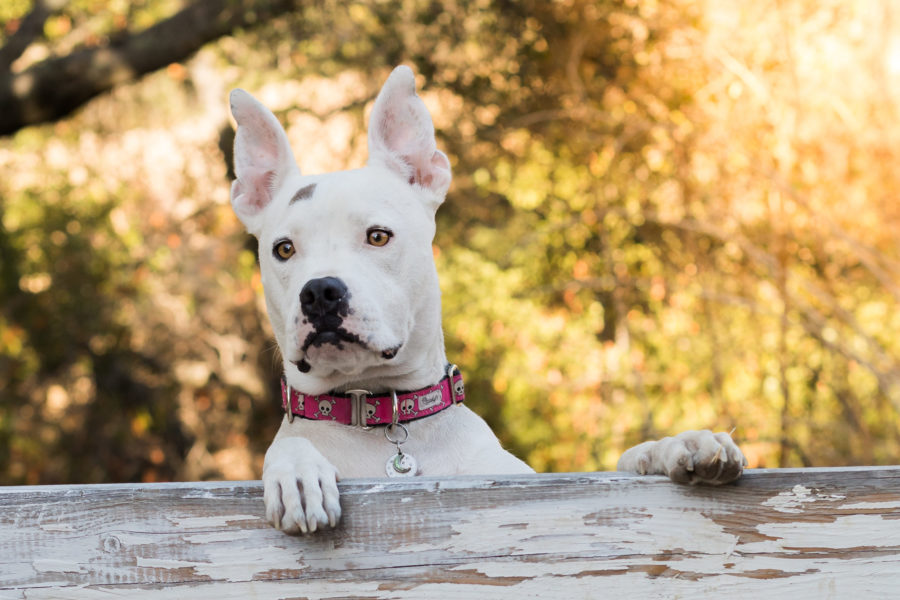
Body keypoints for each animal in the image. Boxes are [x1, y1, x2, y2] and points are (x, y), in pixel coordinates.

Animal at [227, 65, 744, 536]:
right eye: (284, 249)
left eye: (378, 236)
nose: (320, 291)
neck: (387, 426)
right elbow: (287, 448)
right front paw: (297, 469)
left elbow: (624, 461)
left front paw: (681, 444)